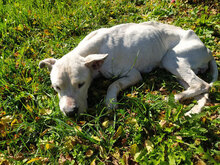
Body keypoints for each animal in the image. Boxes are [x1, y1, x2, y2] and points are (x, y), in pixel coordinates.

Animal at [39, 21, 217, 117]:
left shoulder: (134, 75)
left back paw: (173, 97)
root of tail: (207, 49)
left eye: (81, 85)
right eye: (56, 87)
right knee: (202, 92)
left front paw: (110, 102)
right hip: (179, 73)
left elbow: (113, 84)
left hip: (171, 59)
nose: (70, 112)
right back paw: (192, 110)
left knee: (202, 84)